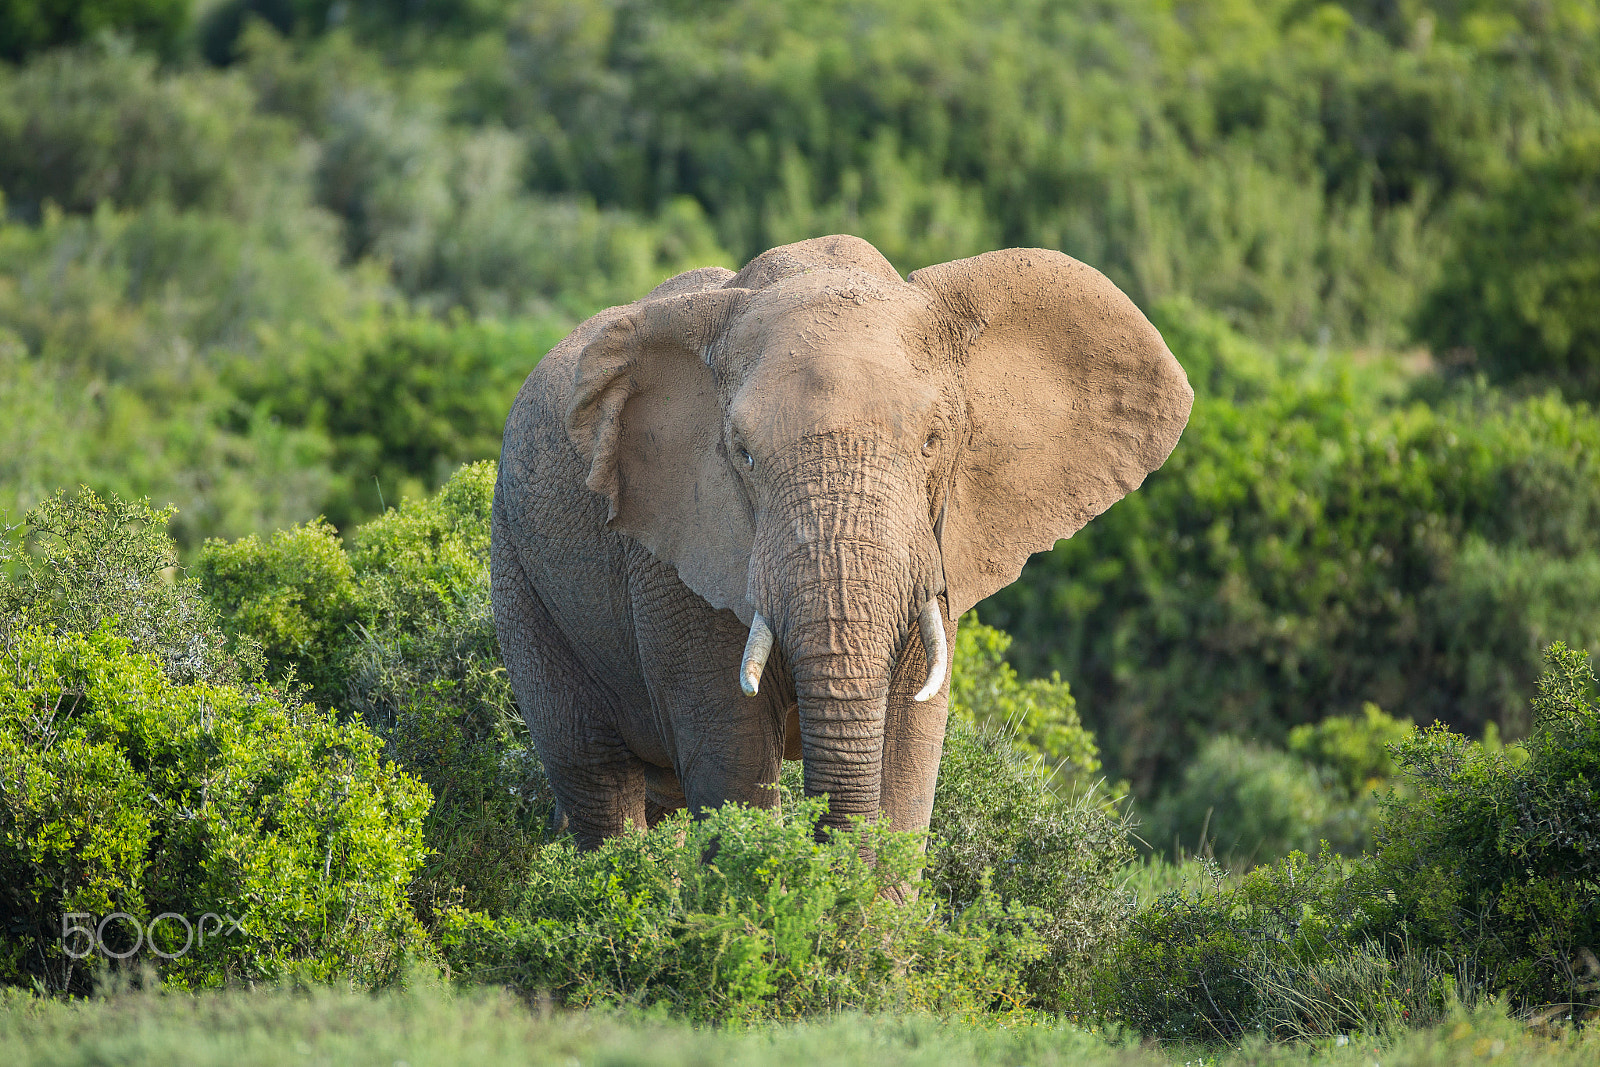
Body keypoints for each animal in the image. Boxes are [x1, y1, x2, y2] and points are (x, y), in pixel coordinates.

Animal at [486, 238, 1190, 844]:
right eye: (743, 456)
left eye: (933, 441)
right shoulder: (679, 555)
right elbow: (731, 757)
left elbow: (907, 760)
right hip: (518, 570)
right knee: (596, 779)